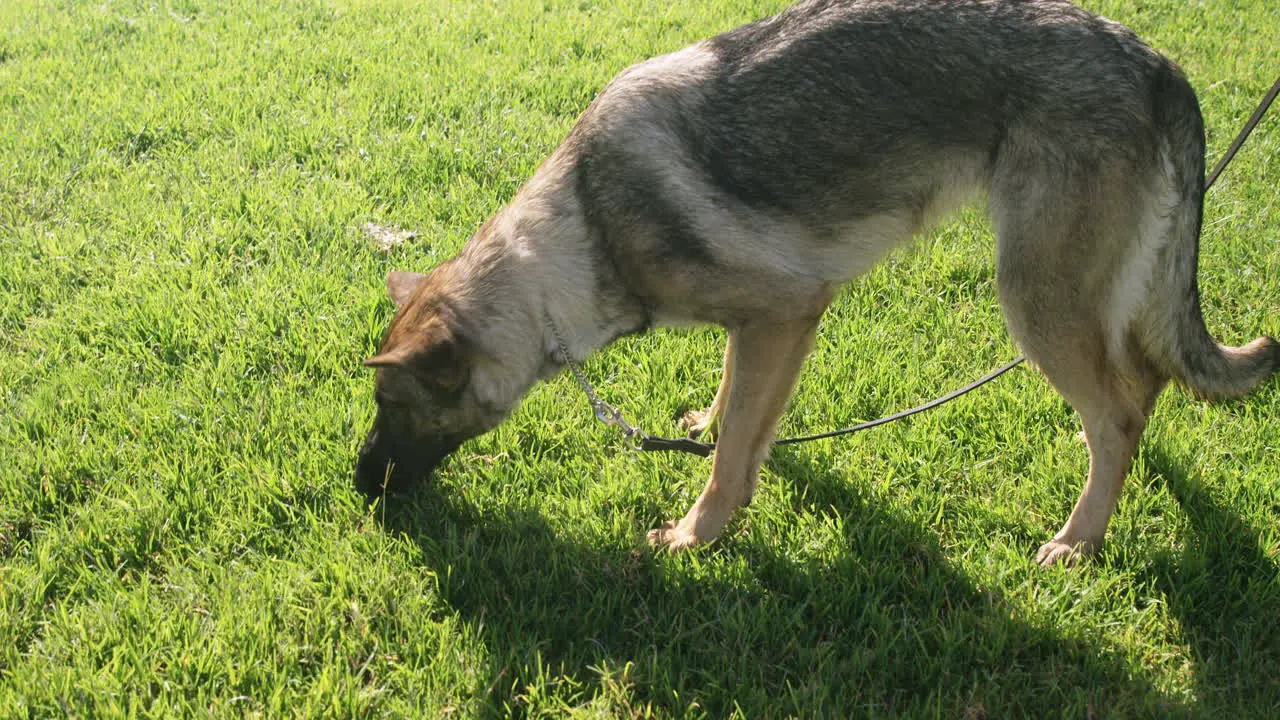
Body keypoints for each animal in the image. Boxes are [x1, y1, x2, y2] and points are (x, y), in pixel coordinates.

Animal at [353, 0, 1280, 566]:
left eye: (392, 407)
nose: (359, 488)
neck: (581, 229)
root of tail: (1156, 63)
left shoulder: (788, 311)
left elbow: (732, 457)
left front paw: (696, 537)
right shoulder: (760, 327)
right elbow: (738, 412)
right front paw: (711, 431)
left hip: (1036, 301)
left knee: (1118, 409)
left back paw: (1080, 542)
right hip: (1090, 296)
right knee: (1146, 382)